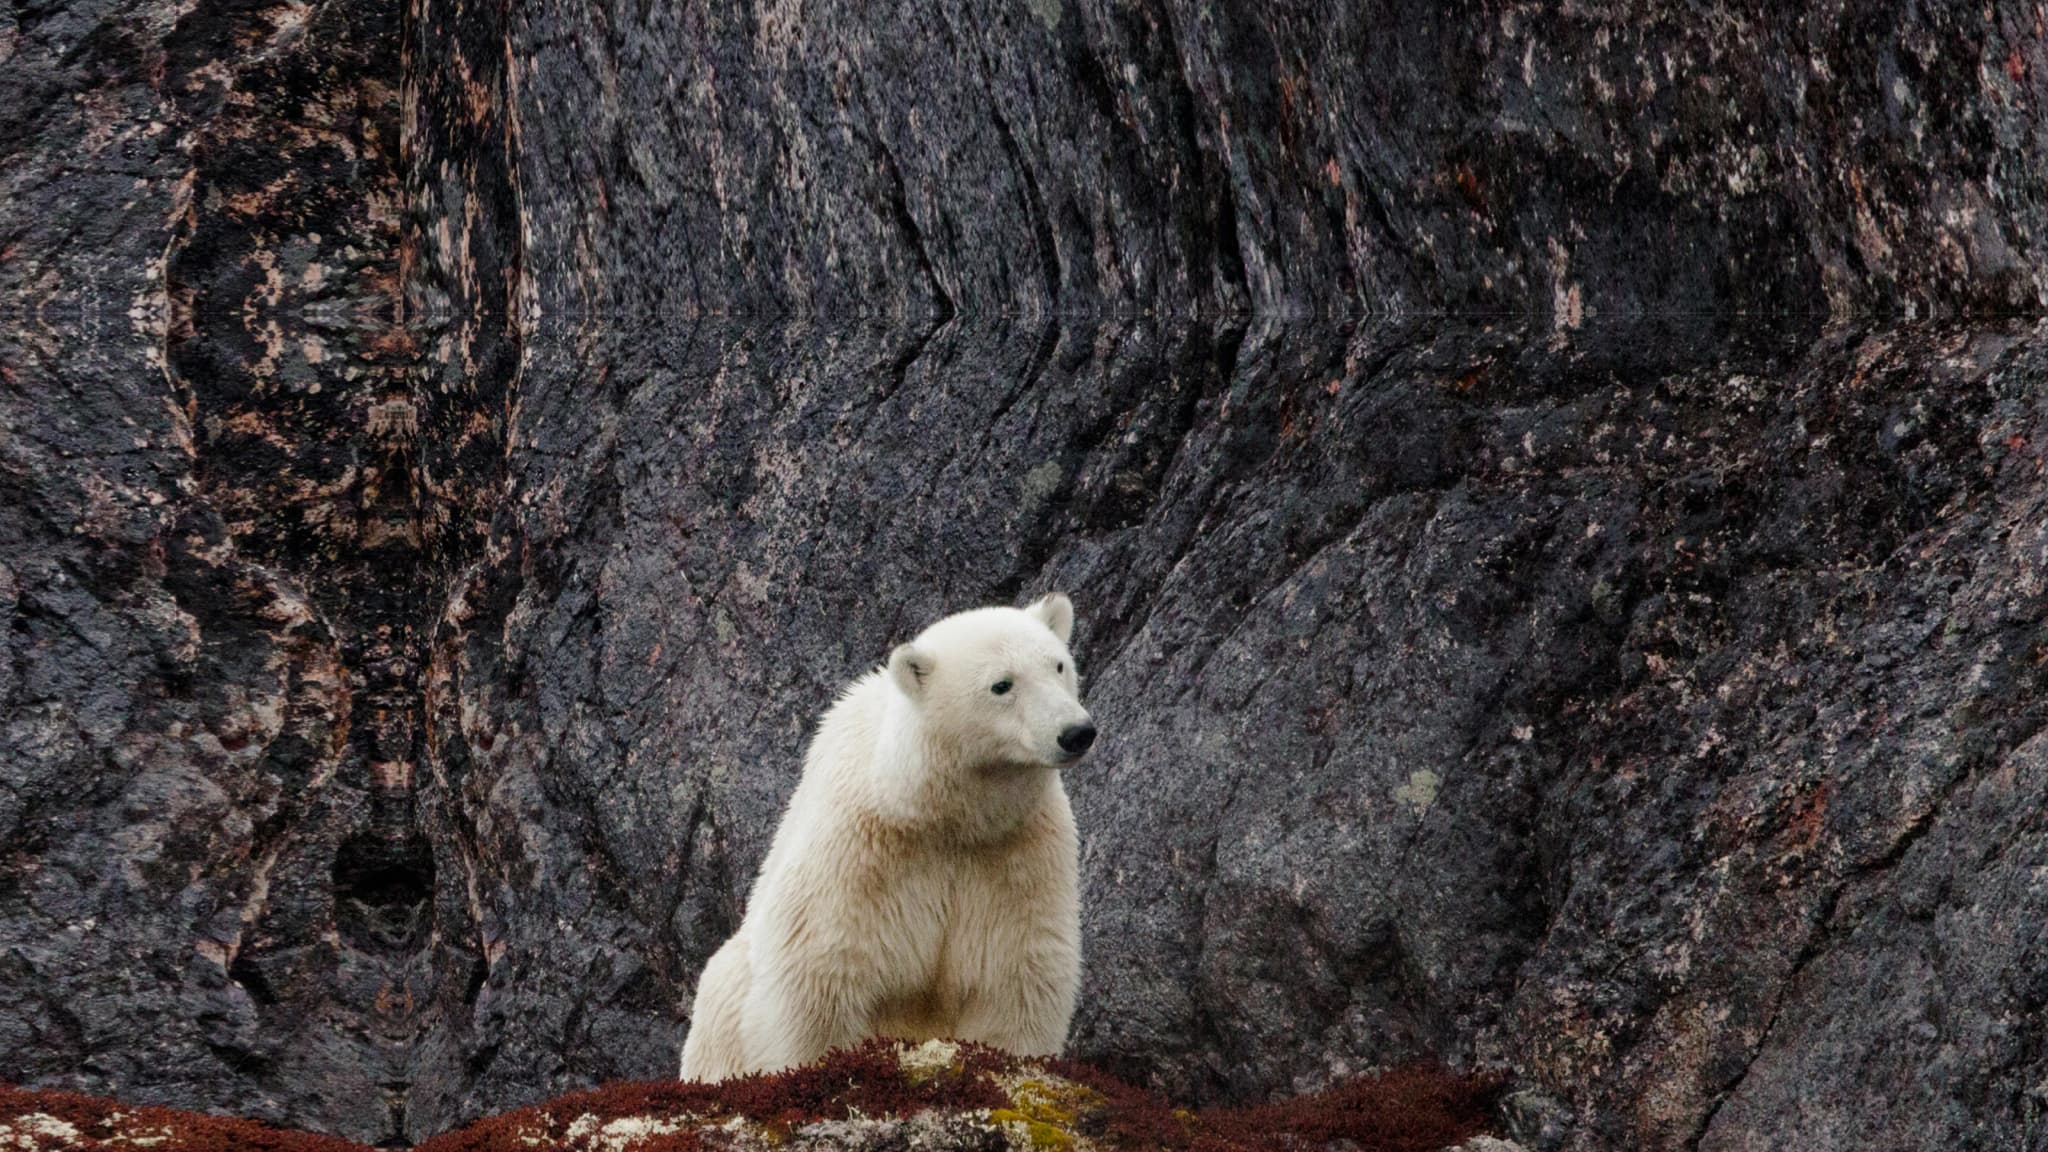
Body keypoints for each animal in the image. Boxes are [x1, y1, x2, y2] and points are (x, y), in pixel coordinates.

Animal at [678, 593, 1095, 1081]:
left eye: (1058, 665)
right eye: (1001, 685)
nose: (1076, 732)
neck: (938, 815)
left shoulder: (1016, 850)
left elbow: (1015, 971)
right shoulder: (859, 851)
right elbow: (819, 970)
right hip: (723, 1006)